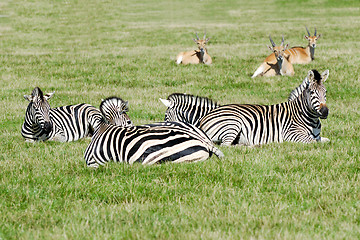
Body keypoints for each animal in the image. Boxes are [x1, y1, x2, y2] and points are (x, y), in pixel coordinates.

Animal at [162, 68, 330, 145]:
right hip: (232, 124)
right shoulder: (292, 135)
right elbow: (316, 143)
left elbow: (326, 141)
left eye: (325, 92)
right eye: (313, 93)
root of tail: (206, 118)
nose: (325, 111)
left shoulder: (317, 136)